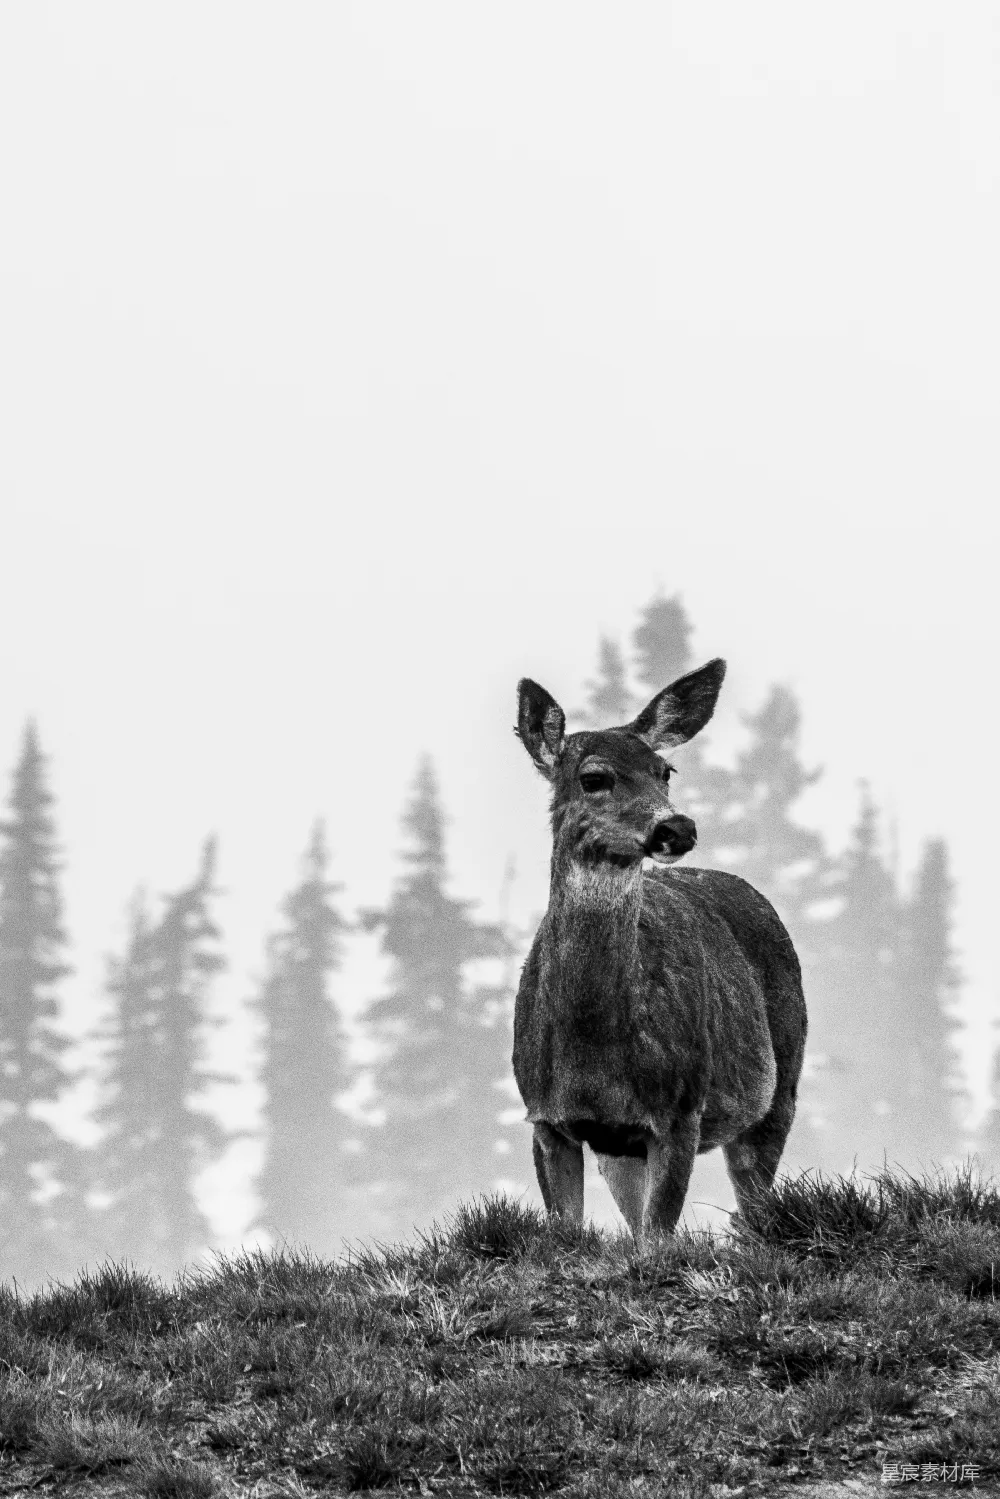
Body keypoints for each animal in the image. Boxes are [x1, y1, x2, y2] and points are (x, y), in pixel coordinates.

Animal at [512, 658, 807, 1246]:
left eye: (665, 771)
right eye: (594, 777)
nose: (677, 826)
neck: (593, 1051)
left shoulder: (680, 1108)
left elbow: (656, 1241)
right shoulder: (545, 1116)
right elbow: (570, 1230)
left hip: (782, 1078)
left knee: (756, 1202)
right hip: (619, 1148)